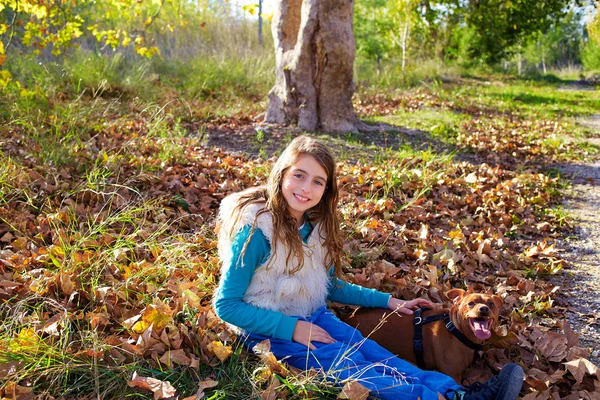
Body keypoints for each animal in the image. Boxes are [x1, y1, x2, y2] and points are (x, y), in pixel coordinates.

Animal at [338, 288, 502, 382]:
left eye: (491, 304)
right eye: (470, 303)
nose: (484, 309)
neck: (456, 330)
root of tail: (349, 317)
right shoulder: (453, 375)